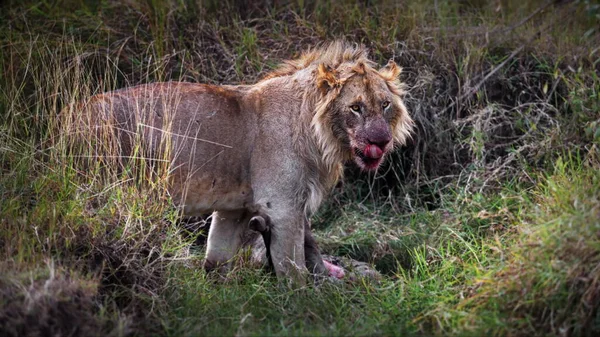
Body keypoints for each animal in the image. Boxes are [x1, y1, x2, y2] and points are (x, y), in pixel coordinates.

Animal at [70, 40, 412, 284]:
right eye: (356, 107)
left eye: (384, 105)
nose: (381, 141)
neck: (320, 135)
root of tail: (72, 114)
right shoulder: (283, 206)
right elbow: (294, 269)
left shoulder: (234, 209)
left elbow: (215, 262)